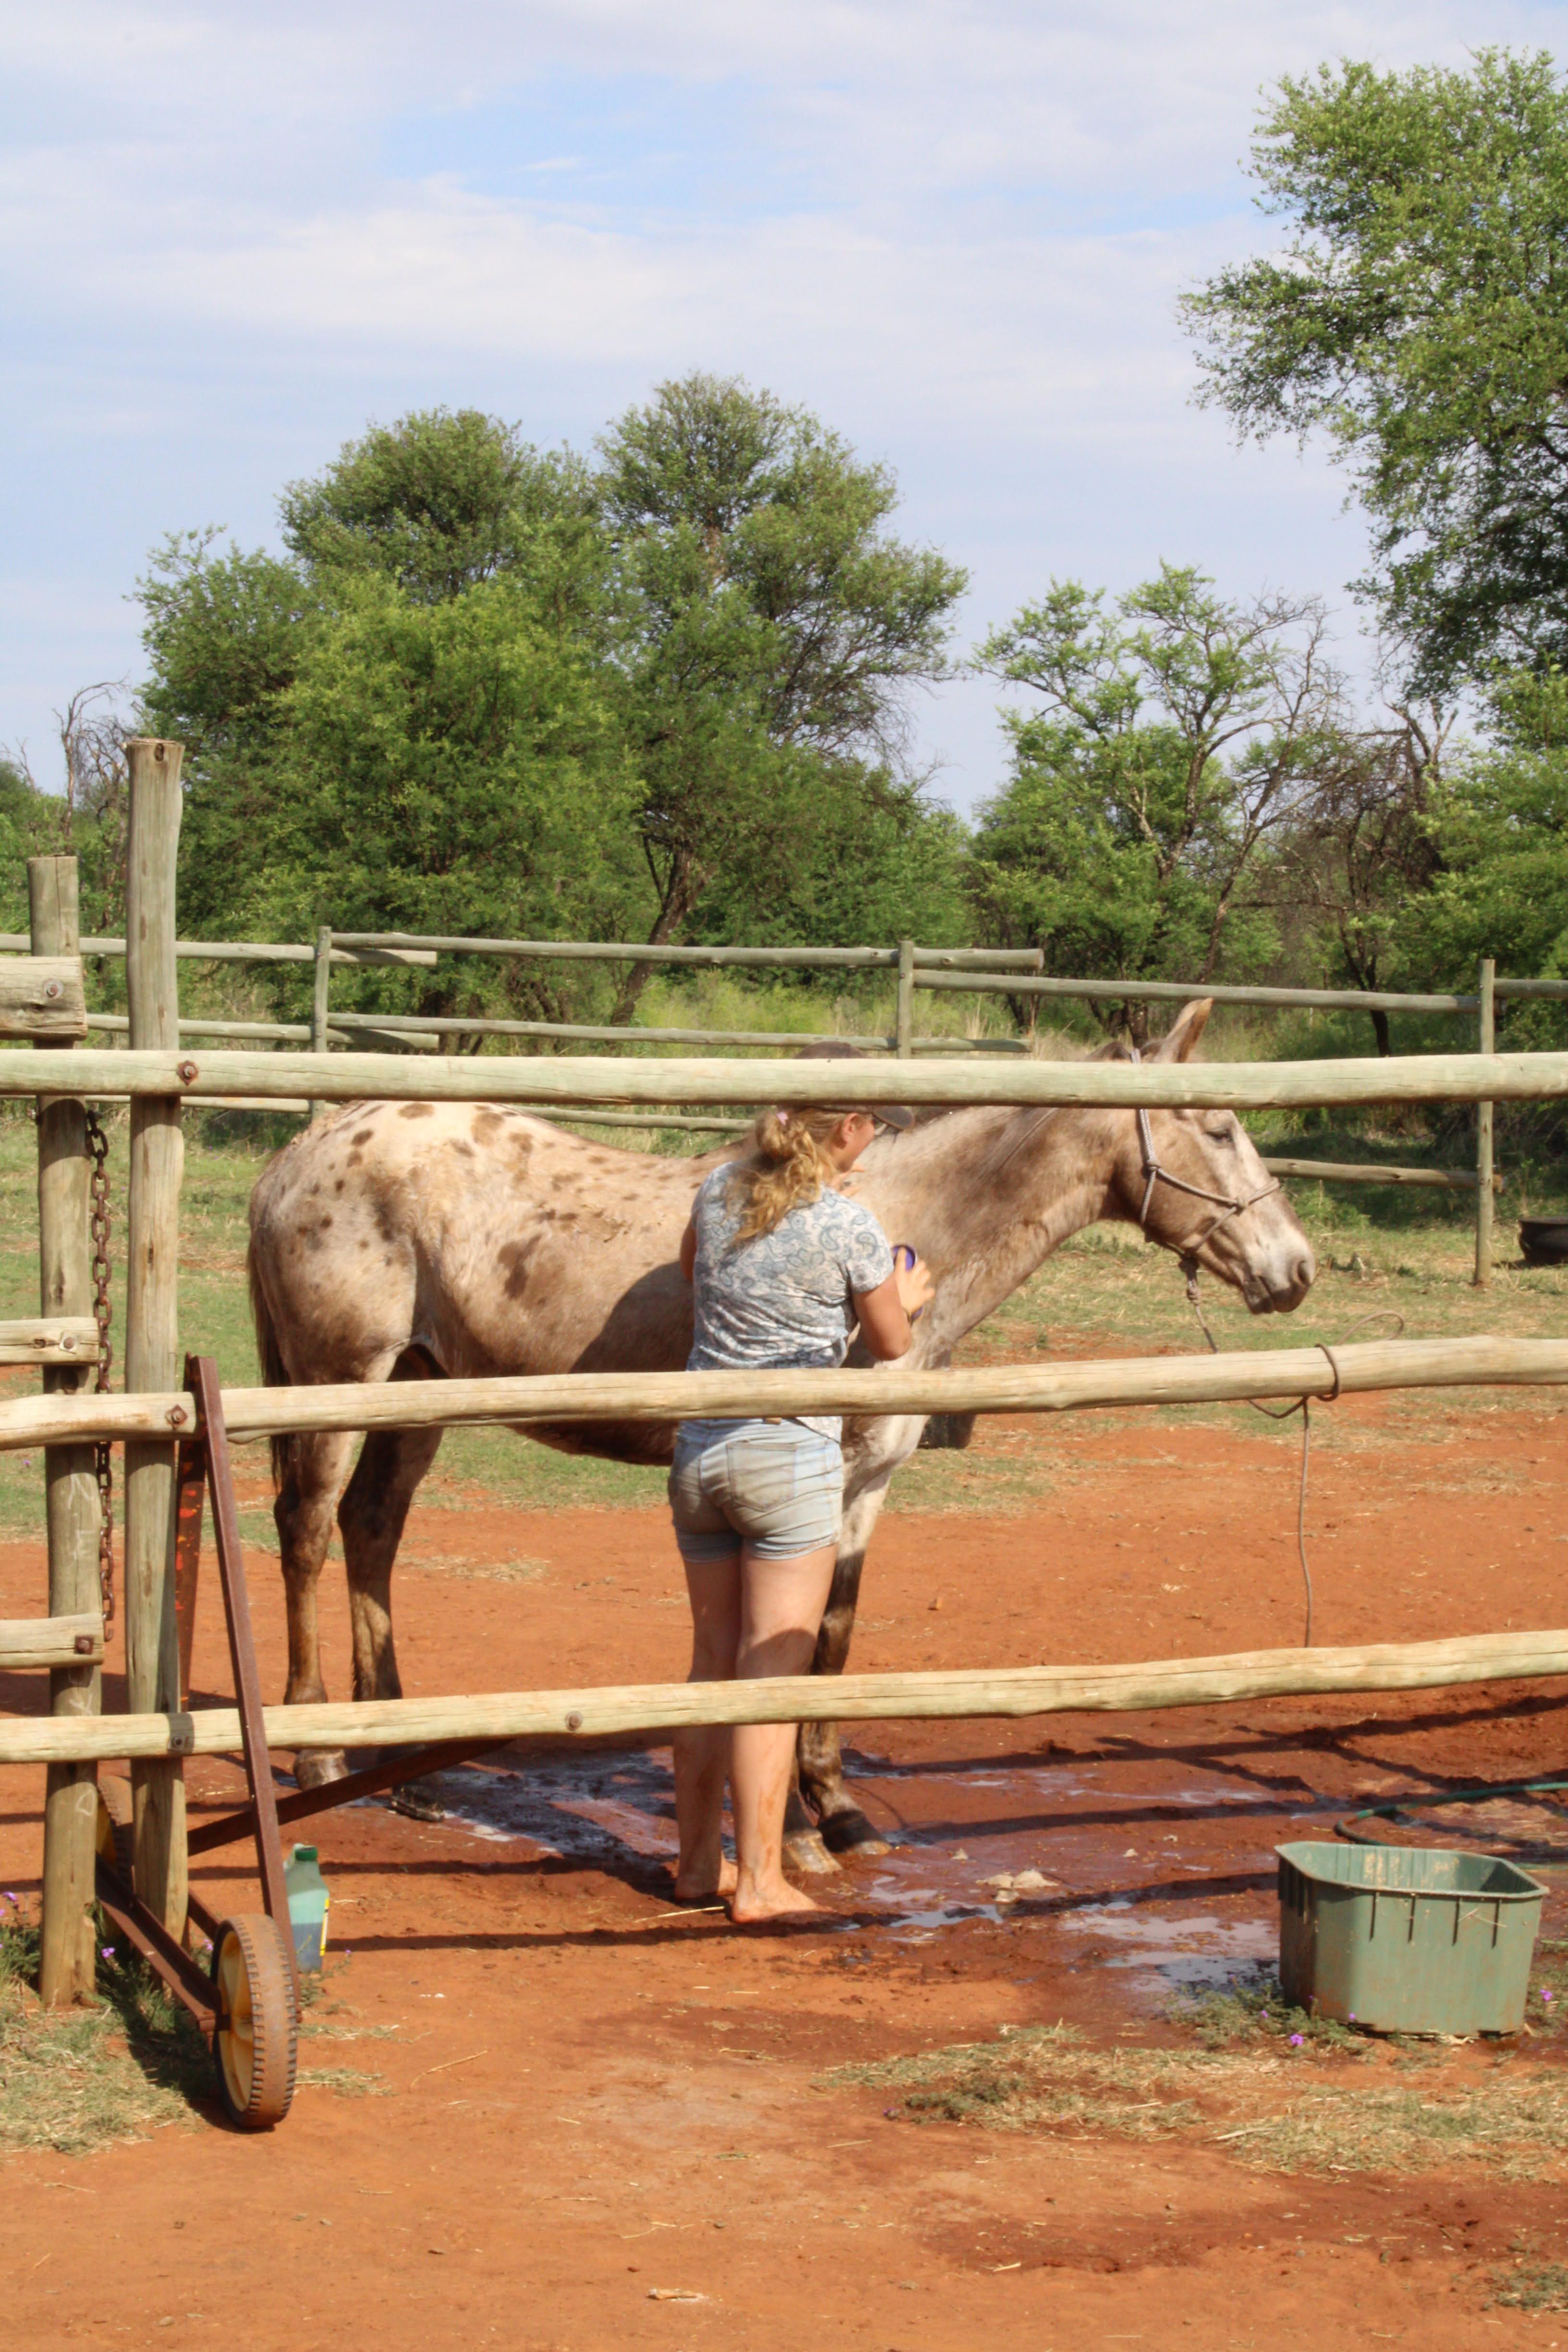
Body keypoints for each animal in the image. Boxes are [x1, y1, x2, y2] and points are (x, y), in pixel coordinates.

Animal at [246, 998, 1315, 1871]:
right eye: (1220, 1126)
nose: (1296, 1268)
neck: (897, 1222)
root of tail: (309, 1146)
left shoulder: (868, 1481)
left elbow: (831, 1635)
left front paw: (838, 1806)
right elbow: (786, 1646)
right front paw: (797, 1830)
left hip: (418, 1390)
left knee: (372, 1528)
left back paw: (406, 1771)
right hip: (340, 1384)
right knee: (307, 1528)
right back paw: (317, 1750)